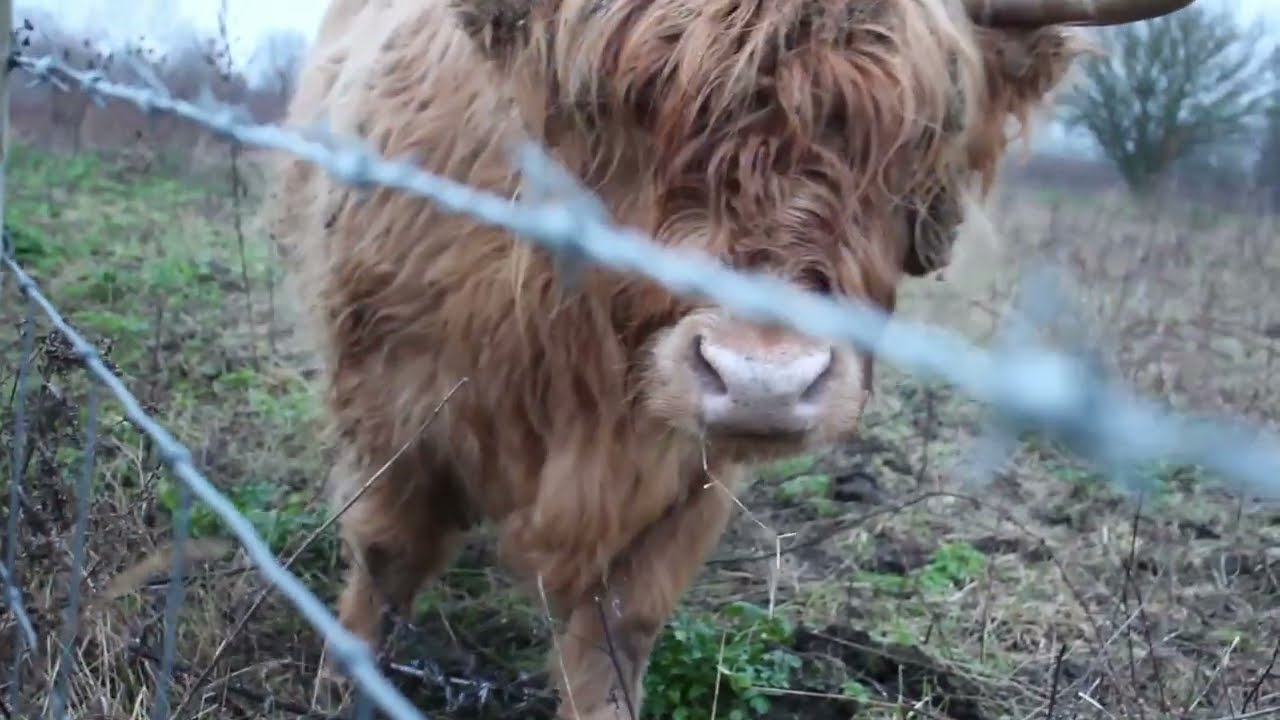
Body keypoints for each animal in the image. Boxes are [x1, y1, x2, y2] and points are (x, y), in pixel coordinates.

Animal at [262, 1, 1199, 717]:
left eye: (920, 131)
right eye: (615, 105)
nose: (764, 380)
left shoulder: (691, 475)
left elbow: (620, 627)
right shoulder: (390, 397)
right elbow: (383, 564)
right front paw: (336, 692)